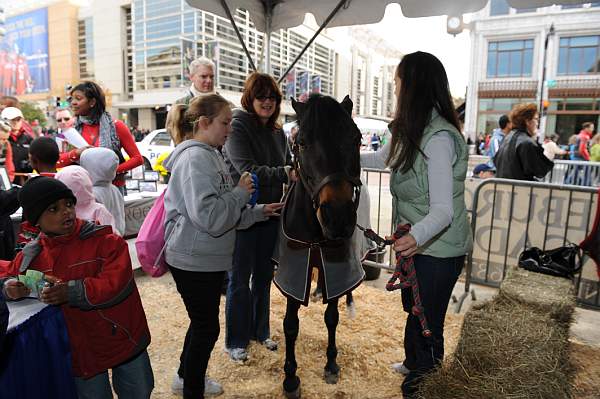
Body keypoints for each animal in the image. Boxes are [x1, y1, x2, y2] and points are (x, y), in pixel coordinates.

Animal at [274, 94, 366, 399]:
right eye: (301, 142)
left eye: (357, 138)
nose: (337, 217)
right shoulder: (295, 267)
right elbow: (290, 325)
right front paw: (290, 377)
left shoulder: (334, 264)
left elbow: (332, 316)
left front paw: (331, 364)